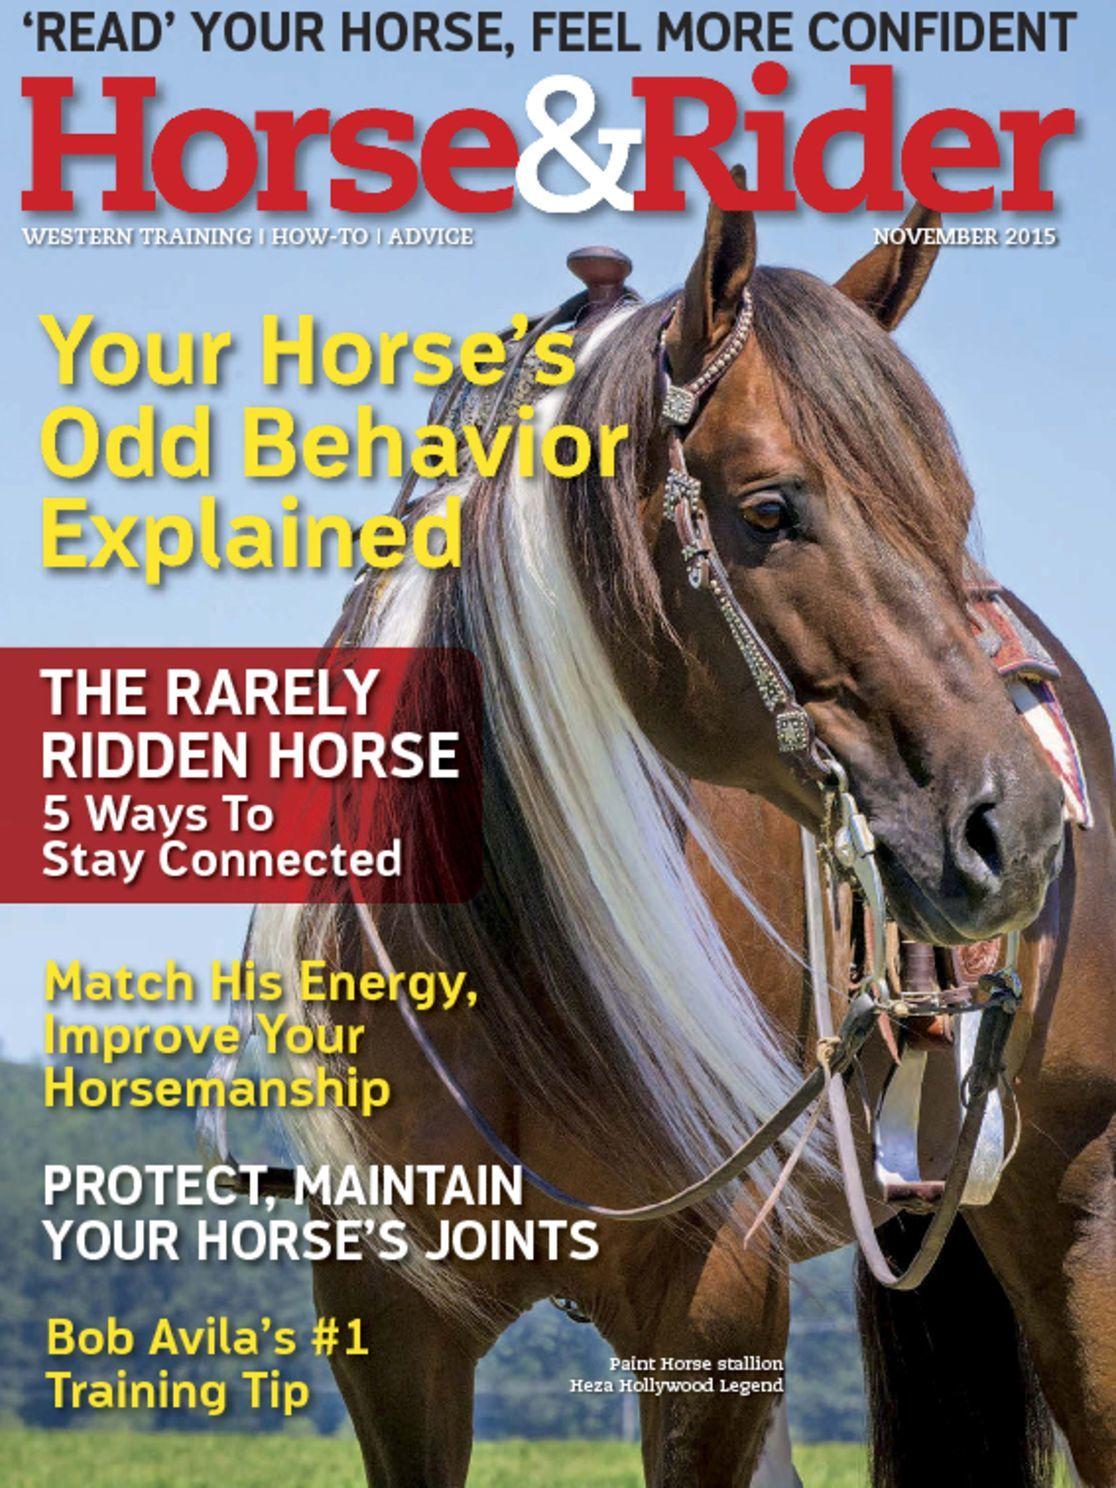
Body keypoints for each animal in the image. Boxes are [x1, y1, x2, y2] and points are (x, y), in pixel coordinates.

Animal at [247, 193, 1116, 1487]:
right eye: (768, 511)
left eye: (950, 515)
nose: (1017, 828)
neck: (513, 971)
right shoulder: (392, 1325)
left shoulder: (713, 1305)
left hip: (1076, 1220)